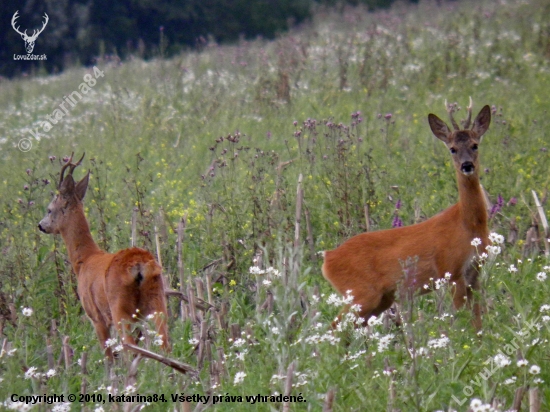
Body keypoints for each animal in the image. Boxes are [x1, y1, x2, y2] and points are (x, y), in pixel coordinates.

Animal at [38, 153, 170, 358]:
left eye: (49, 209)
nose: (41, 225)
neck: (85, 260)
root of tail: (140, 266)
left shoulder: (95, 315)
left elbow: (108, 356)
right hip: (157, 300)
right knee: (165, 343)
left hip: (119, 308)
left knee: (130, 347)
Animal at [322, 100, 494, 328]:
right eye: (452, 149)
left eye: (475, 145)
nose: (467, 165)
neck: (468, 224)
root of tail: (327, 258)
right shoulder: (451, 270)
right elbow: (462, 318)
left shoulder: (475, 273)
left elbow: (477, 321)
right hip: (361, 294)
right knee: (335, 327)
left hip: (381, 299)